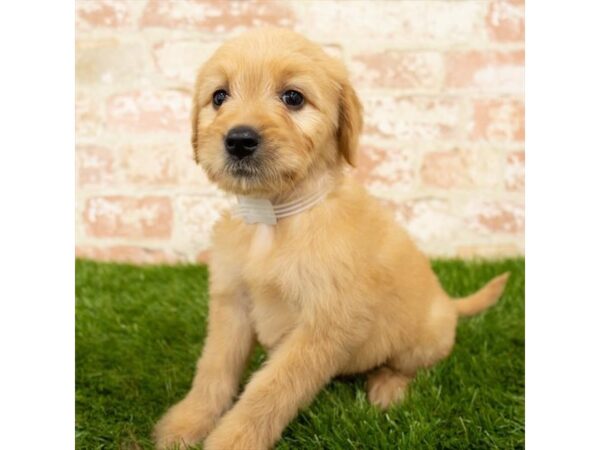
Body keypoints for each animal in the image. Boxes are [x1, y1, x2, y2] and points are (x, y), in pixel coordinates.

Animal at [152, 28, 508, 450]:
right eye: (219, 96)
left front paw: (232, 440)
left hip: (424, 337)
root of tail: (450, 305)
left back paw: (387, 388)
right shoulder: (231, 302)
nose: (238, 140)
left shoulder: (324, 324)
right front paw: (187, 423)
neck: (275, 219)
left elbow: (270, 390)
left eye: (293, 97)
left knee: (407, 367)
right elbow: (214, 369)